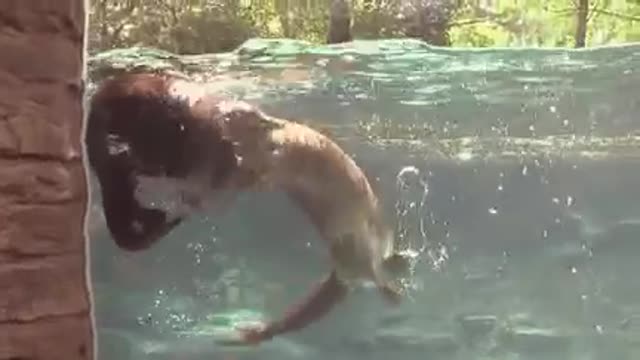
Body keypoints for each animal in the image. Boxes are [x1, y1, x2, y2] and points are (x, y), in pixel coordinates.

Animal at [85, 72, 410, 346]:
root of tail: (342, 270)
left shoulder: (231, 154)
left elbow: (212, 186)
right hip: (352, 246)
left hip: (358, 241)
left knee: (374, 269)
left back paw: (393, 288)